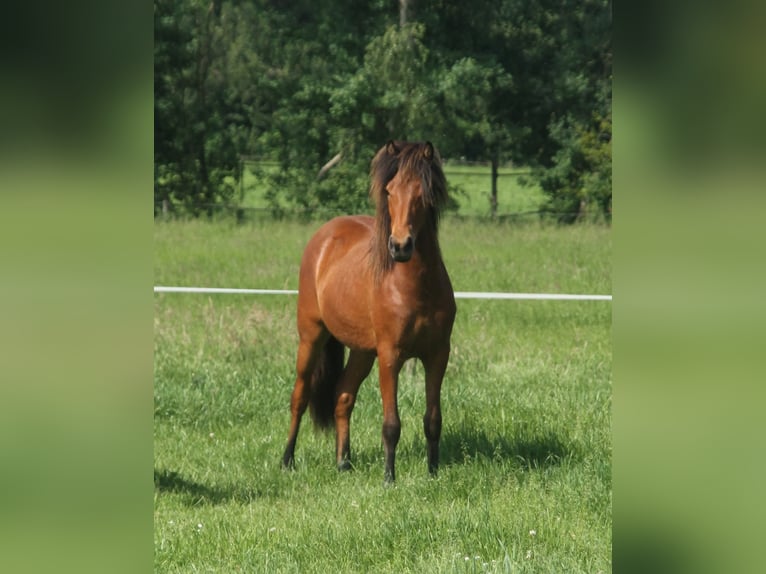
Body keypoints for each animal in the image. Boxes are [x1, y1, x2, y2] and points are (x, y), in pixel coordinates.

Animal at [281, 140, 456, 483]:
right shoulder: (390, 356)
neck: (414, 287)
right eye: (389, 191)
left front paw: (433, 473)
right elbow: (391, 424)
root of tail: (325, 236)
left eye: (423, 192)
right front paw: (389, 478)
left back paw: (343, 463)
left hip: (362, 351)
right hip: (311, 337)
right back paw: (287, 460)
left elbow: (432, 419)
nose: (400, 246)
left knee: (342, 396)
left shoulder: (437, 355)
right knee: (300, 397)